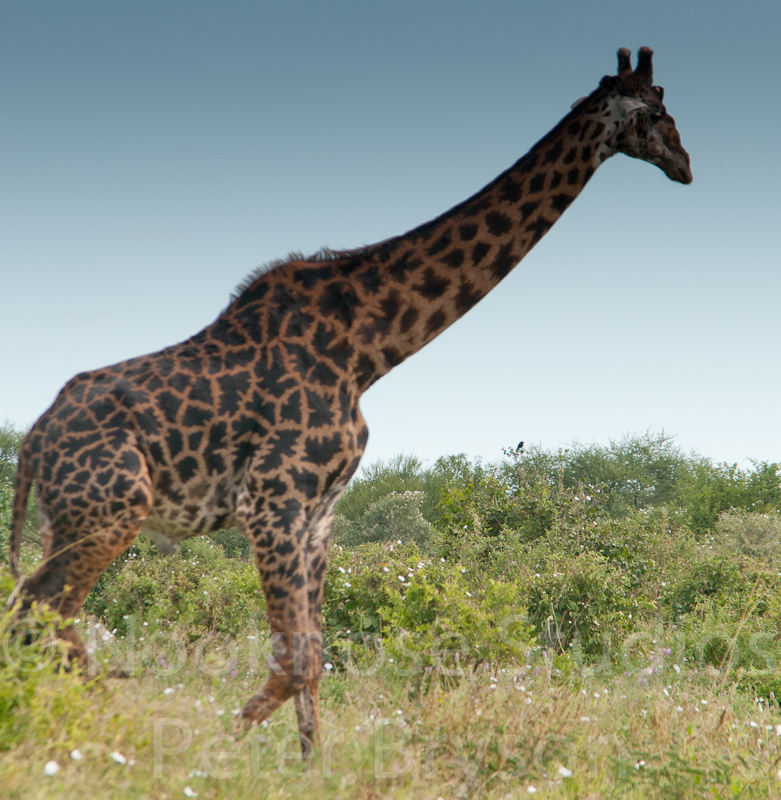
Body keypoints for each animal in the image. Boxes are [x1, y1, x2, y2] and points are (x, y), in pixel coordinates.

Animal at [8, 48, 690, 757]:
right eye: (656, 112)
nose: (687, 166)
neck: (366, 351)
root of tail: (33, 441)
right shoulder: (273, 501)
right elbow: (295, 660)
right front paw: (216, 751)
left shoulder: (319, 515)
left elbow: (312, 659)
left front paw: (310, 766)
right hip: (113, 510)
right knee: (42, 612)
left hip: (71, 518)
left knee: (33, 613)